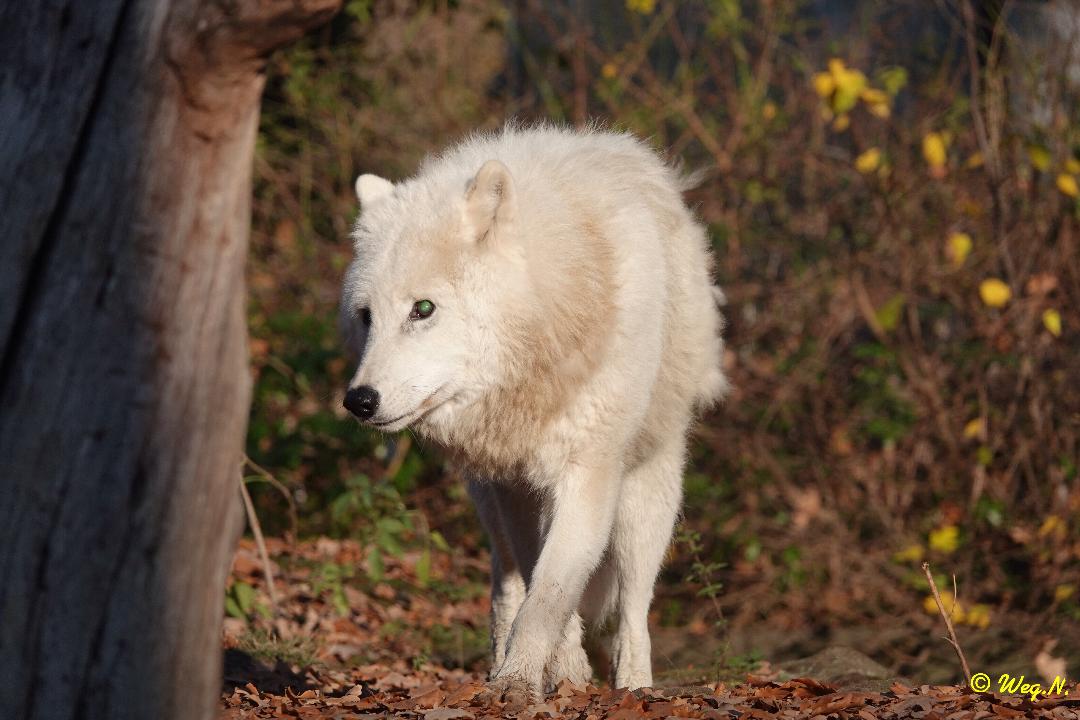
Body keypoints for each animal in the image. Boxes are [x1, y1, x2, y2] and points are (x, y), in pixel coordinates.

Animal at [339, 124, 725, 703]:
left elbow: (552, 591)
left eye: (423, 309)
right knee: (506, 585)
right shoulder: (514, 485)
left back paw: (634, 686)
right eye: (367, 316)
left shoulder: (588, 472)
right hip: (488, 502)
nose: (359, 401)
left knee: (634, 609)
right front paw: (549, 672)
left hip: (644, 497)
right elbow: (539, 590)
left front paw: (522, 681)